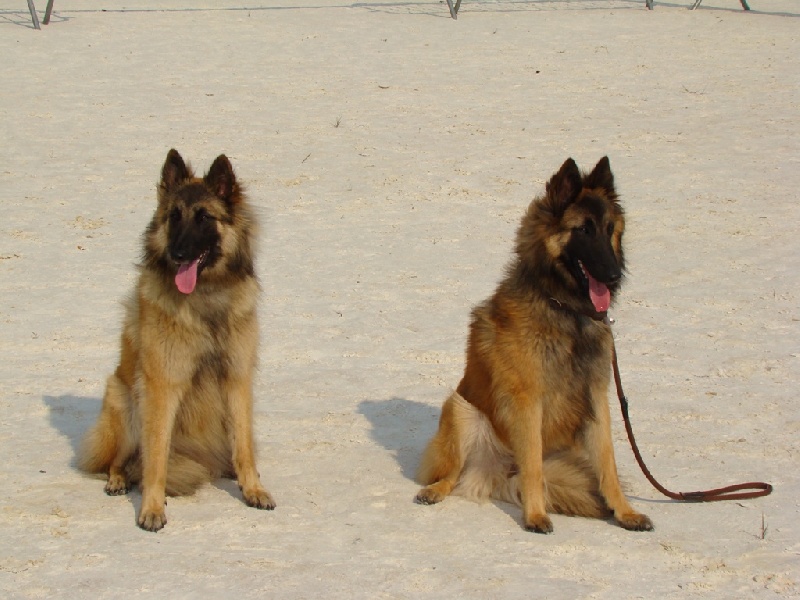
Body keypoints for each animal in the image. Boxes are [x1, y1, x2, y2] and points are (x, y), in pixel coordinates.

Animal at [78, 149, 275, 531]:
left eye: (204, 218)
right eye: (173, 217)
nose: (178, 254)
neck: (205, 296)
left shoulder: (237, 378)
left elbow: (244, 446)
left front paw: (253, 488)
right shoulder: (162, 386)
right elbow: (155, 458)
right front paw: (152, 509)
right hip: (123, 399)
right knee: (119, 460)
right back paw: (117, 480)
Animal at [415, 157, 652, 533]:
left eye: (609, 228)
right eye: (583, 230)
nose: (614, 275)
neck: (563, 307)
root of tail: (498, 473)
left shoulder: (597, 399)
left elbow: (608, 464)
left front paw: (624, 512)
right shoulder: (527, 401)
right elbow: (533, 466)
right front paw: (535, 515)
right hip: (461, 409)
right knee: (453, 474)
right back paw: (434, 490)